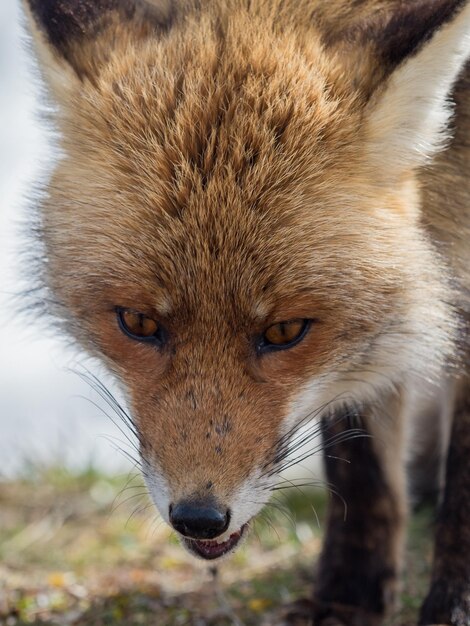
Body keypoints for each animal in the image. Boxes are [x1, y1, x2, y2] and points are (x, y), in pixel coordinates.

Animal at [20, 1, 468, 624]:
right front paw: (347, 597)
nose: (199, 518)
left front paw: (452, 603)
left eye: (284, 330)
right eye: (139, 323)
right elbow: (360, 465)